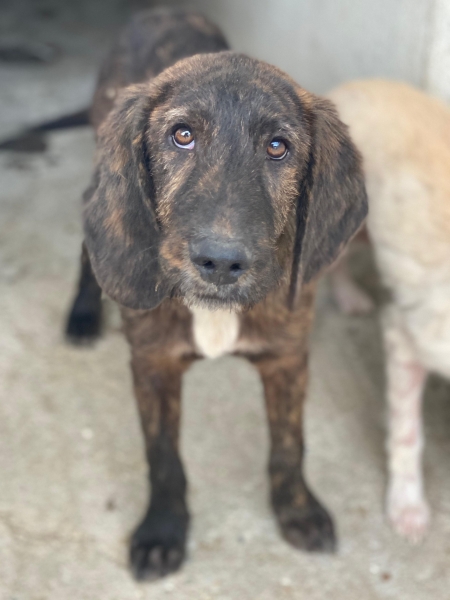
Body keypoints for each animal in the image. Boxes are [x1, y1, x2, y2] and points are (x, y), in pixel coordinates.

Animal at [66, 8, 367, 579]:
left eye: (278, 147)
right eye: (181, 135)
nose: (221, 262)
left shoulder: (288, 357)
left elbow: (290, 443)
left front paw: (297, 509)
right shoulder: (152, 362)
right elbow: (162, 456)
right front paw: (163, 529)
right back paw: (82, 314)